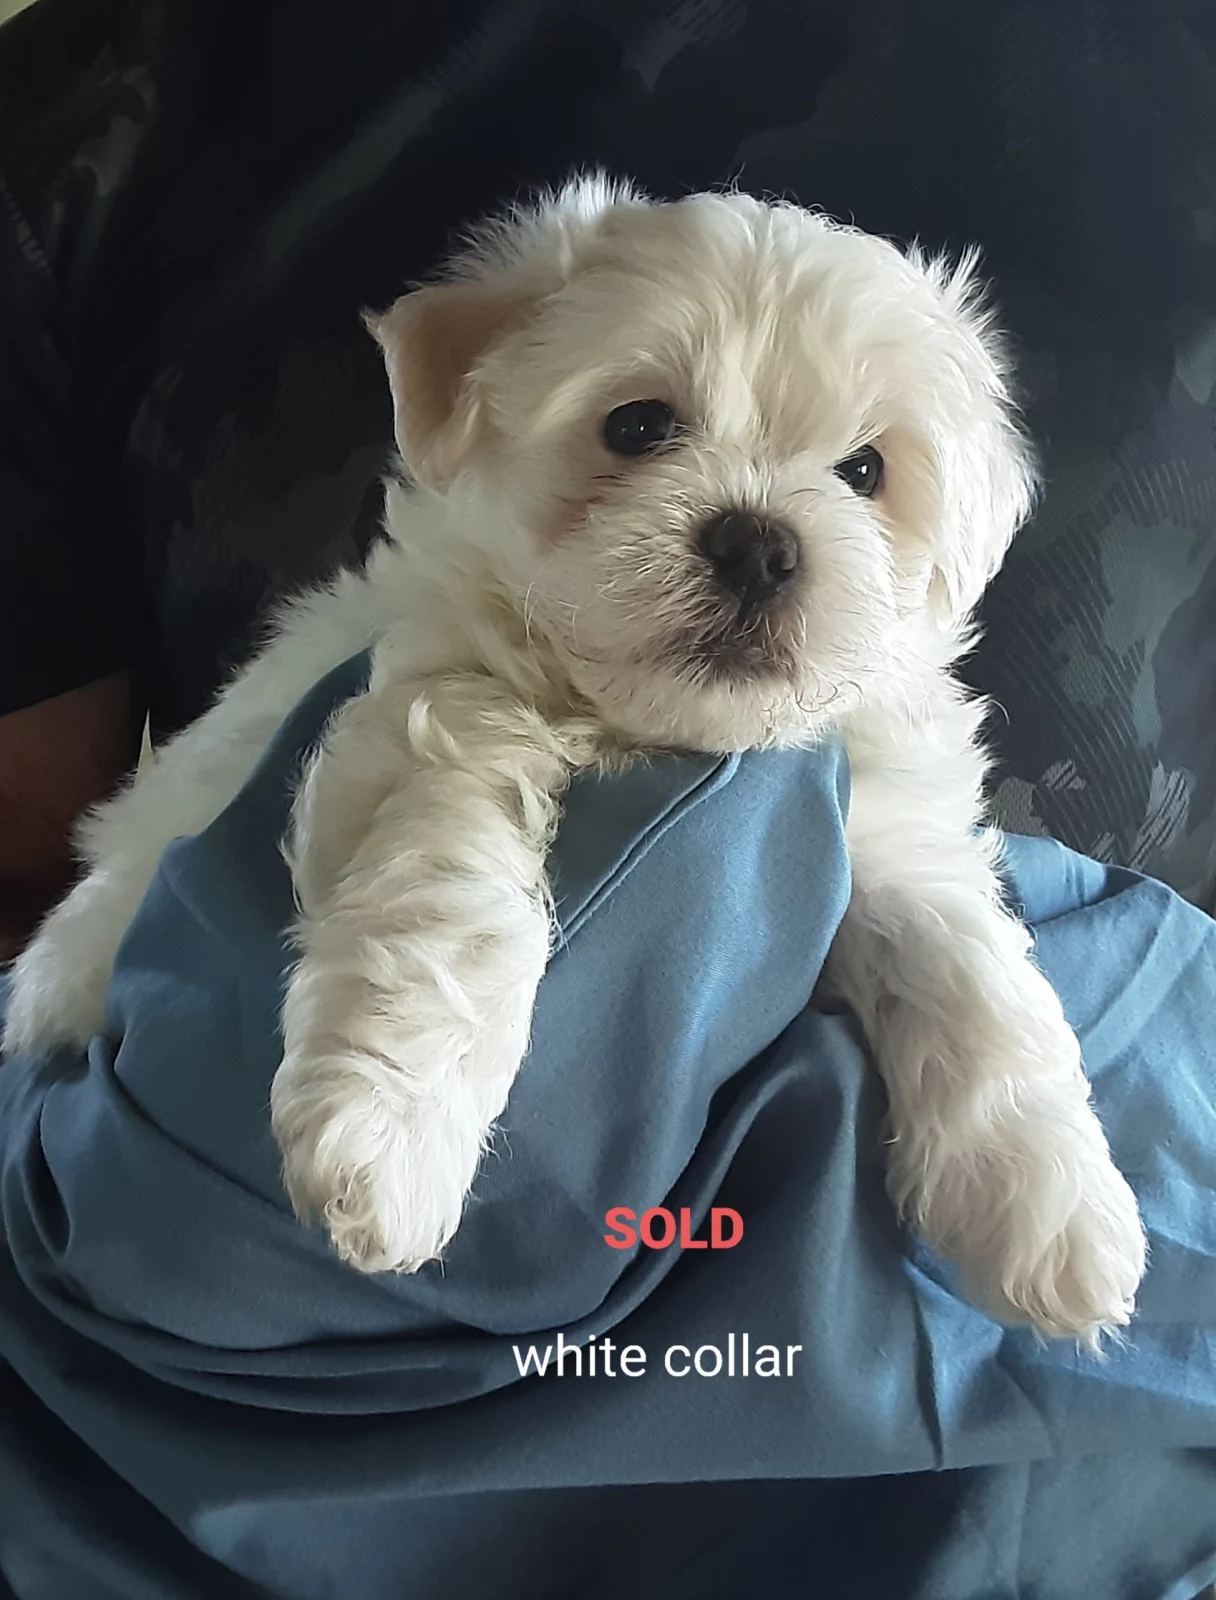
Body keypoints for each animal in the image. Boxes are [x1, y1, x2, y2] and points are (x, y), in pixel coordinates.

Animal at [2, 177, 1146, 1342]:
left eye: (865, 470)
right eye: (637, 425)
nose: (759, 544)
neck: (652, 728)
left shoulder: (885, 821)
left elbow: (971, 966)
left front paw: (1050, 1199)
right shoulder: (431, 697)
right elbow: (452, 884)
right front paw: (394, 1130)